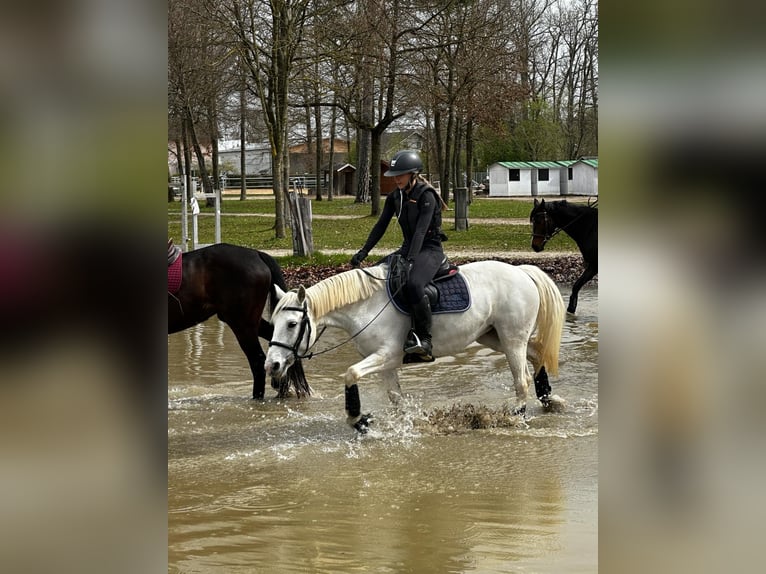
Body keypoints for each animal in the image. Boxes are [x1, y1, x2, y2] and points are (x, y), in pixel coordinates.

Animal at [268, 260, 568, 432]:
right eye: (273, 323)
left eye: (292, 324)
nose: (272, 365)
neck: (366, 305)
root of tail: (521, 272)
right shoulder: (385, 364)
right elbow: (396, 398)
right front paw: (408, 422)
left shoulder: (386, 356)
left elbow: (351, 373)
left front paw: (357, 418)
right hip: (493, 336)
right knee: (536, 355)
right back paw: (549, 399)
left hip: (511, 337)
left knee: (521, 379)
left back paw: (516, 417)